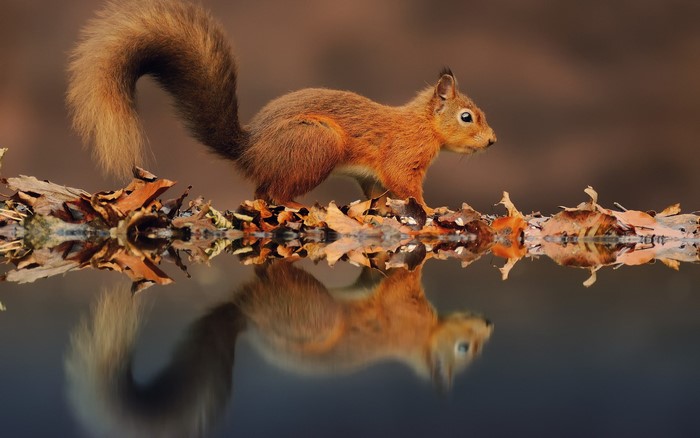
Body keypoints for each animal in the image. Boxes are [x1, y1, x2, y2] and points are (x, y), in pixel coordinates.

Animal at [67, 0, 496, 208]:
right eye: (466, 117)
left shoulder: (373, 176)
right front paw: (432, 211)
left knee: (262, 193)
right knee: (275, 193)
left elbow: (377, 192)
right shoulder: (403, 157)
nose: (492, 141)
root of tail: (250, 150)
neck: (423, 125)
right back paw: (300, 206)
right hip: (317, 144)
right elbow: (406, 187)